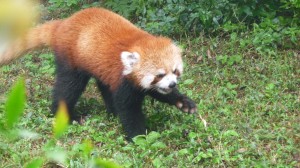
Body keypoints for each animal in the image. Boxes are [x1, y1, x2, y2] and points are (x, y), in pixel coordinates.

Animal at [0, 7, 196, 139]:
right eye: (159, 75)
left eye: (175, 71)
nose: (172, 84)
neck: (137, 43)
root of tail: (63, 24)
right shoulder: (123, 80)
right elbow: (128, 109)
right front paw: (139, 136)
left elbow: (157, 93)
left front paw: (183, 102)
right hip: (71, 59)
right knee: (68, 88)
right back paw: (67, 116)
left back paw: (111, 112)